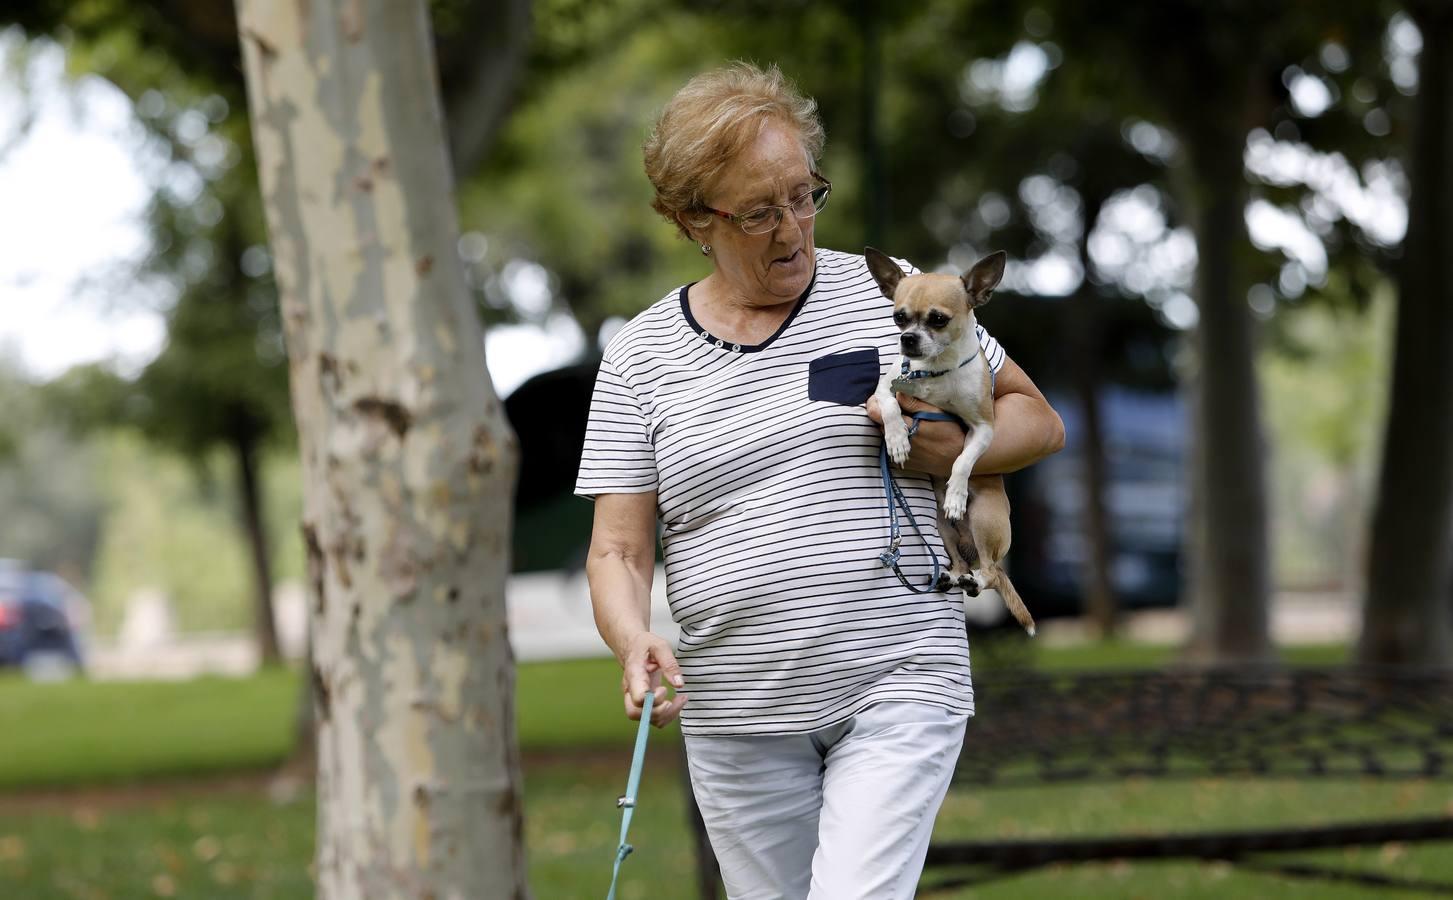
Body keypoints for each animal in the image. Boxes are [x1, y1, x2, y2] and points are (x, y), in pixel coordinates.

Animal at [860, 248, 1034, 633]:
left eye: (938, 319)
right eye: (898, 317)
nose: (908, 339)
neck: (935, 370)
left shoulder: (983, 428)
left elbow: (963, 460)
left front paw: (955, 493)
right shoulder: (884, 390)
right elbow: (891, 408)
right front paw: (897, 441)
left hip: (983, 518)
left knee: (991, 573)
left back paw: (975, 576)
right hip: (943, 530)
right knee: (961, 563)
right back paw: (952, 576)